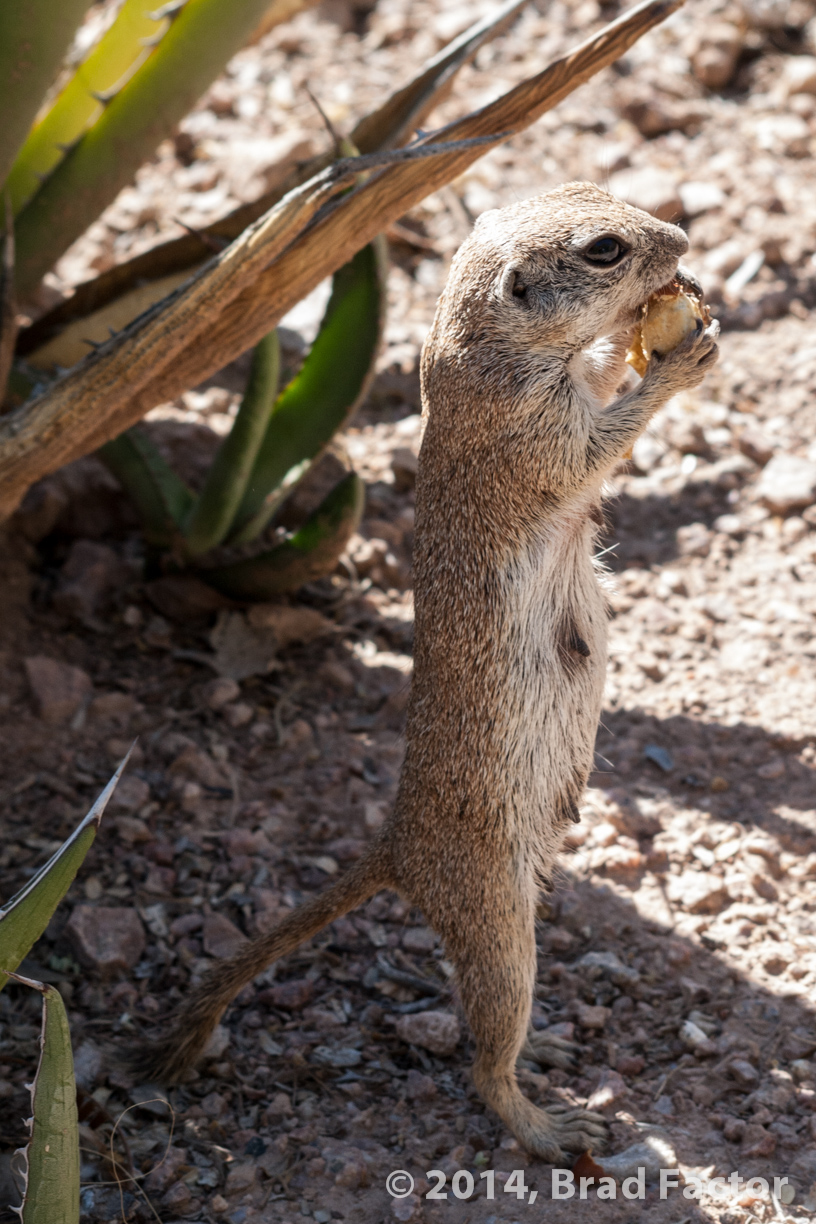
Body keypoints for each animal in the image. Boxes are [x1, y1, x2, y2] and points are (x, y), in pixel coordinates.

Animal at [131, 182, 718, 1160]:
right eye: (604, 247)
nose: (679, 239)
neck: (481, 352)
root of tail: (396, 848)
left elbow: (602, 381)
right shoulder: (531, 431)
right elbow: (600, 442)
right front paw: (679, 357)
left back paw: (547, 1046)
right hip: (497, 915)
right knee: (486, 1049)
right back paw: (540, 1119)